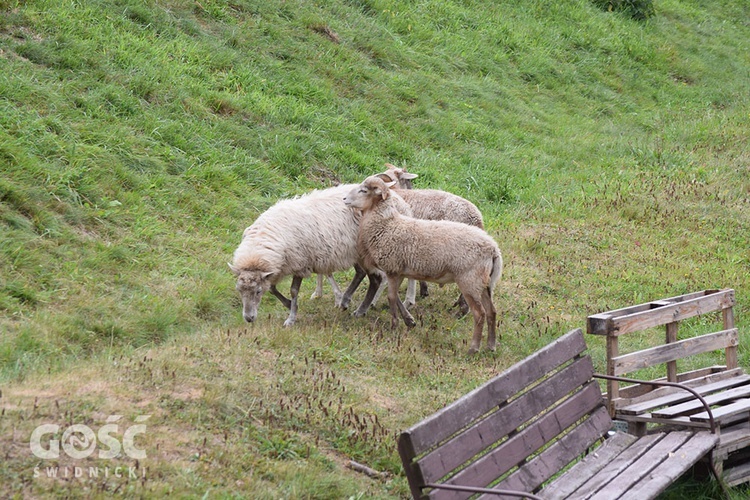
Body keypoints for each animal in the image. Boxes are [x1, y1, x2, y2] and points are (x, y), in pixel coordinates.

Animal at [228, 184, 382, 328]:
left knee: (376, 279)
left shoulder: (299, 263)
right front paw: (289, 304)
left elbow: (293, 291)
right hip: (355, 253)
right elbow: (272, 289)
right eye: (239, 290)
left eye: (258, 291)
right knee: (361, 273)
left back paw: (360, 310)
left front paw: (291, 317)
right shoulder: (277, 268)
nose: (249, 318)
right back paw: (346, 301)